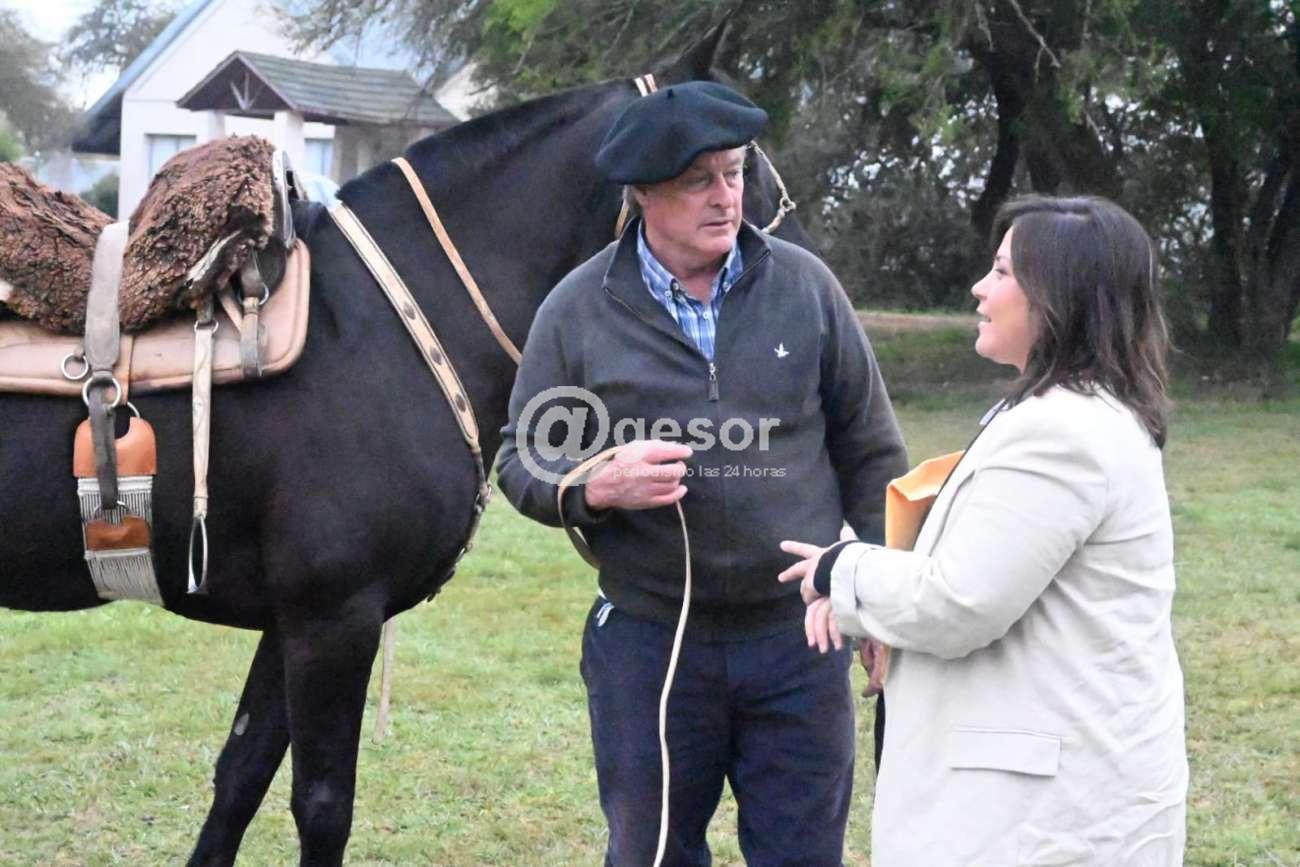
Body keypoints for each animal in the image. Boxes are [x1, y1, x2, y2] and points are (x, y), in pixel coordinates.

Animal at [0, 28, 817, 866]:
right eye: (732, 172)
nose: (800, 282)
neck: (374, 325)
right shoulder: (334, 618)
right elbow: (322, 803)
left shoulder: (292, 620)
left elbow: (240, 775)